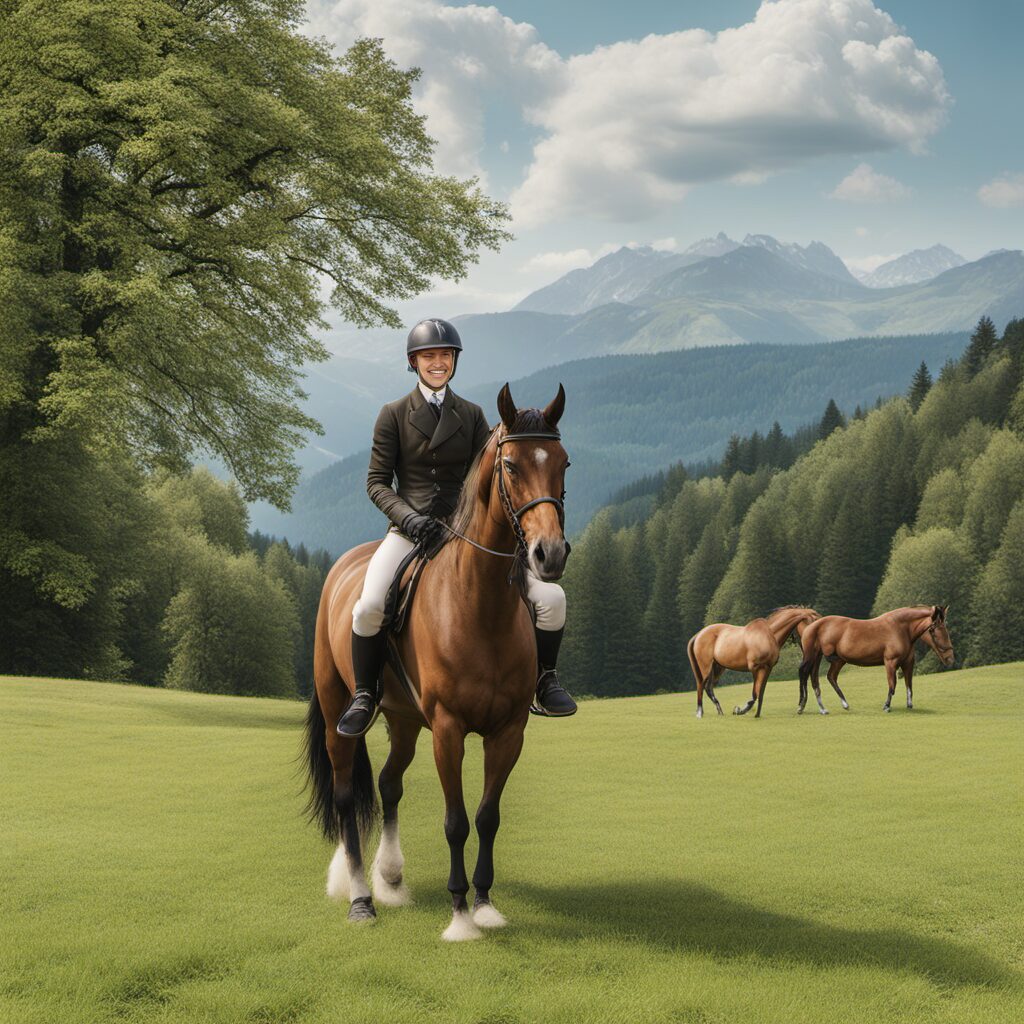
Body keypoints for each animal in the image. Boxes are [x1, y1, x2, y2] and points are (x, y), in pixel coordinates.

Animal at [303, 384, 571, 941]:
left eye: (564, 464)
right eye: (510, 465)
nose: (549, 555)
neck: (480, 604)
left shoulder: (507, 731)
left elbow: (488, 816)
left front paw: (485, 904)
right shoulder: (448, 729)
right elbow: (456, 821)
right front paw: (460, 915)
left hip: (405, 719)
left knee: (389, 783)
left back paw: (390, 876)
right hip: (341, 710)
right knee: (346, 797)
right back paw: (360, 896)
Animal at [686, 607, 820, 719]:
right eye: (812, 623)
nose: (814, 644)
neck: (769, 635)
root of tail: (699, 635)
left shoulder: (768, 668)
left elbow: (761, 693)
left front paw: (757, 714)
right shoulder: (755, 668)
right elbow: (755, 693)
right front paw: (740, 710)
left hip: (717, 668)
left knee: (708, 688)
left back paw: (719, 711)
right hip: (706, 667)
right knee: (701, 685)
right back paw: (700, 713)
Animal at [797, 605, 953, 714]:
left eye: (945, 627)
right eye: (934, 630)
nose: (950, 658)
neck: (900, 629)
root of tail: (812, 626)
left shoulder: (908, 664)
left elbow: (909, 685)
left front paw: (909, 705)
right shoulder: (890, 662)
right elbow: (892, 684)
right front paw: (887, 706)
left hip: (834, 660)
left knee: (826, 677)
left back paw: (835, 706)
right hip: (813, 656)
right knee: (805, 674)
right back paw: (802, 707)